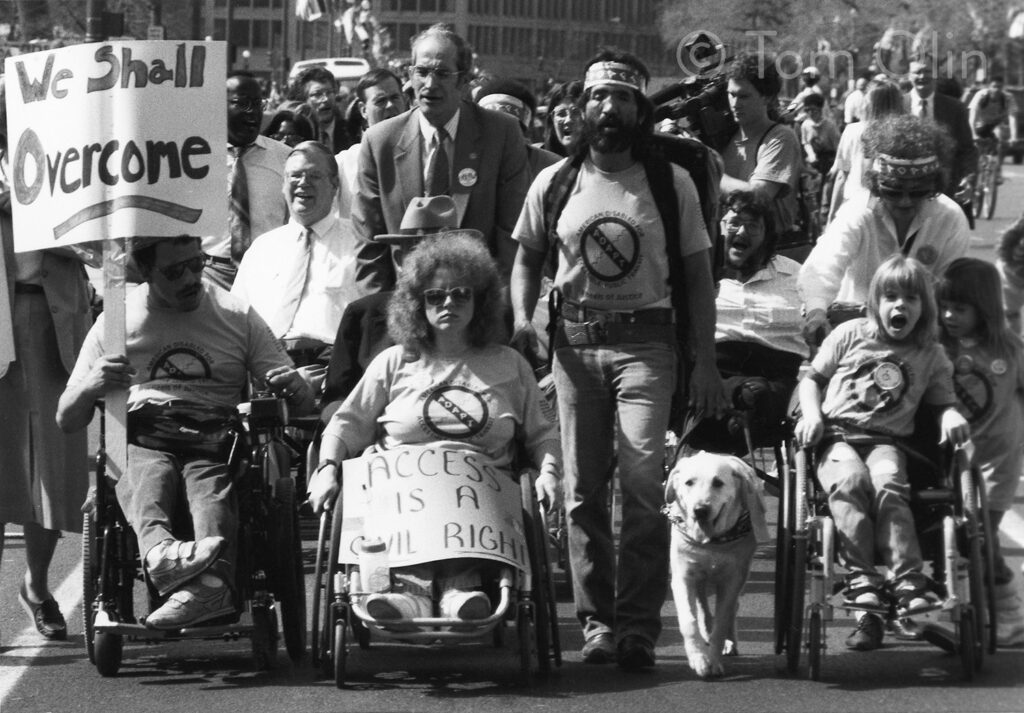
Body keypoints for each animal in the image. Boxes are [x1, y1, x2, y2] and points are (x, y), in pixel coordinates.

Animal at [663, 450, 770, 680]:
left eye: (718, 482)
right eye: (689, 482)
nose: (700, 510)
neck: (712, 543)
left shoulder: (732, 580)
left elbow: (721, 623)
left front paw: (713, 660)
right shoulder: (683, 577)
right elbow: (689, 621)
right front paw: (698, 659)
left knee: (732, 610)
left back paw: (730, 643)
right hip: (700, 579)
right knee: (703, 608)